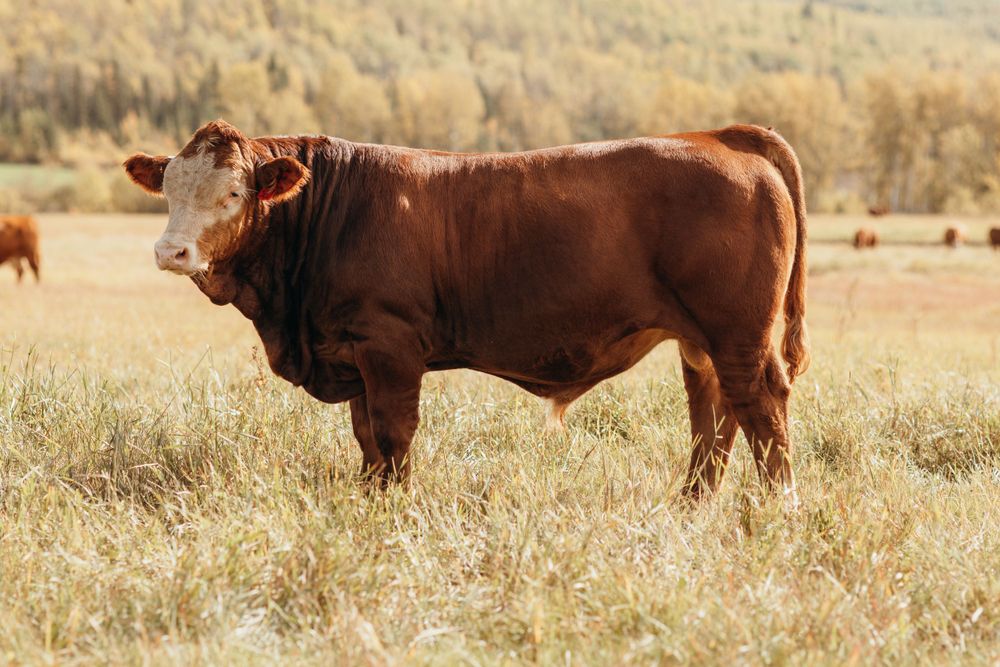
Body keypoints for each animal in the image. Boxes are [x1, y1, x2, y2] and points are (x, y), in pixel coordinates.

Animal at [123, 120, 810, 501]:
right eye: (169, 191)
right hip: (702, 342)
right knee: (713, 421)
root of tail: (719, 138)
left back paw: (778, 509)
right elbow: (367, 440)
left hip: (740, 335)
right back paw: (691, 506)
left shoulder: (388, 344)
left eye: (233, 193)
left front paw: (395, 510)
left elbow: (393, 435)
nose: (170, 251)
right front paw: (370, 503)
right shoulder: (350, 352)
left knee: (762, 411)